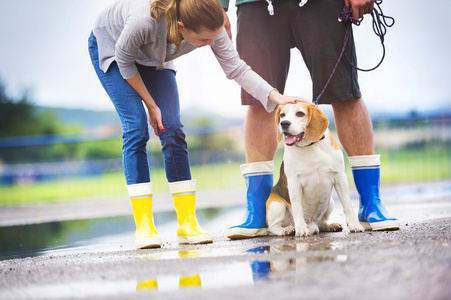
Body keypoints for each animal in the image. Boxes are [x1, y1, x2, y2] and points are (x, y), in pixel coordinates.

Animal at [266, 103, 366, 237]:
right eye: (282, 115)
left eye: (300, 114)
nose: (284, 123)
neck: (311, 146)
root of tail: (312, 224)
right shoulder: (294, 182)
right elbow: (297, 208)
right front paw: (301, 228)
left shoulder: (340, 176)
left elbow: (347, 204)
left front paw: (354, 224)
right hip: (276, 205)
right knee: (272, 228)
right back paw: (287, 229)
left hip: (331, 202)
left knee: (321, 223)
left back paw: (330, 226)